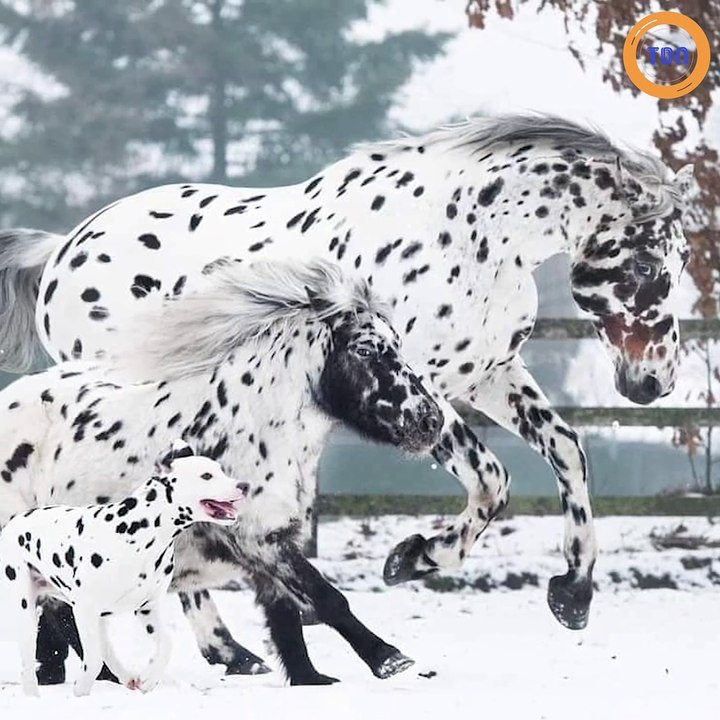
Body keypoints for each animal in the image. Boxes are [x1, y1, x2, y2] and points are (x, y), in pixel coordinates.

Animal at [0, 257, 465, 685]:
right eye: (365, 349)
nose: (430, 421)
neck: (254, 428)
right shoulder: (259, 538)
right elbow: (325, 597)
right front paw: (389, 659)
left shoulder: (272, 542)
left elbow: (286, 616)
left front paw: (309, 679)